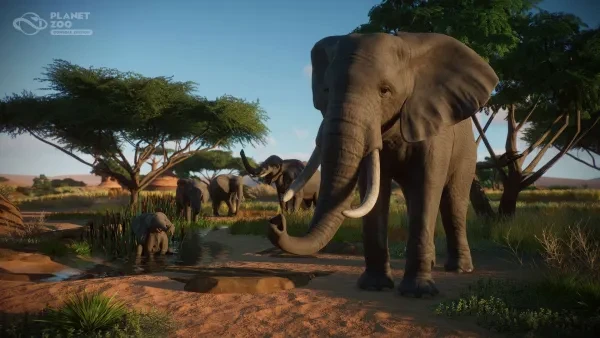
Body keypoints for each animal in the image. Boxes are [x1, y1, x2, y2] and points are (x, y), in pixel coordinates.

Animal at [266, 31, 496, 296]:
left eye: (385, 91)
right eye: (326, 90)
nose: (276, 221)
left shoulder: (432, 130)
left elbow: (427, 186)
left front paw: (418, 292)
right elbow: (373, 190)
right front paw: (374, 286)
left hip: (468, 152)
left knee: (454, 202)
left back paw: (460, 269)